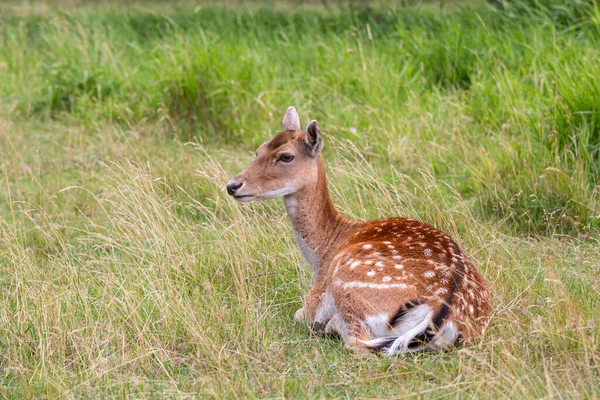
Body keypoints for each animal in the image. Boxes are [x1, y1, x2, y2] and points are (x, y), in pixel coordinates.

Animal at [227, 105, 490, 354]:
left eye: (286, 157)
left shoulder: (315, 295)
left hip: (348, 282)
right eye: (259, 150)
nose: (233, 185)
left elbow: (299, 314)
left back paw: (329, 326)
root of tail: (441, 313)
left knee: (357, 342)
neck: (323, 251)